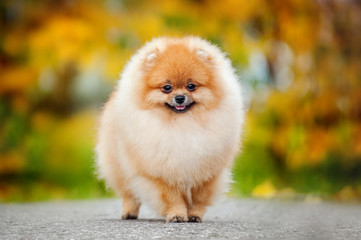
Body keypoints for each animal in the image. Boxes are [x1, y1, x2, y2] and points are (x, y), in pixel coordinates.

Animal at [95, 36, 245, 223]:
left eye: (191, 86)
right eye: (167, 87)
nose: (179, 98)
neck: (181, 125)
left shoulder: (207, 172)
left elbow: (199, 198)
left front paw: (194, 215)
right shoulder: (161, 174)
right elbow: (172, 198)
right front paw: (177, 215)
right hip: (120, 168)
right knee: (129, 194)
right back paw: (129, 213)